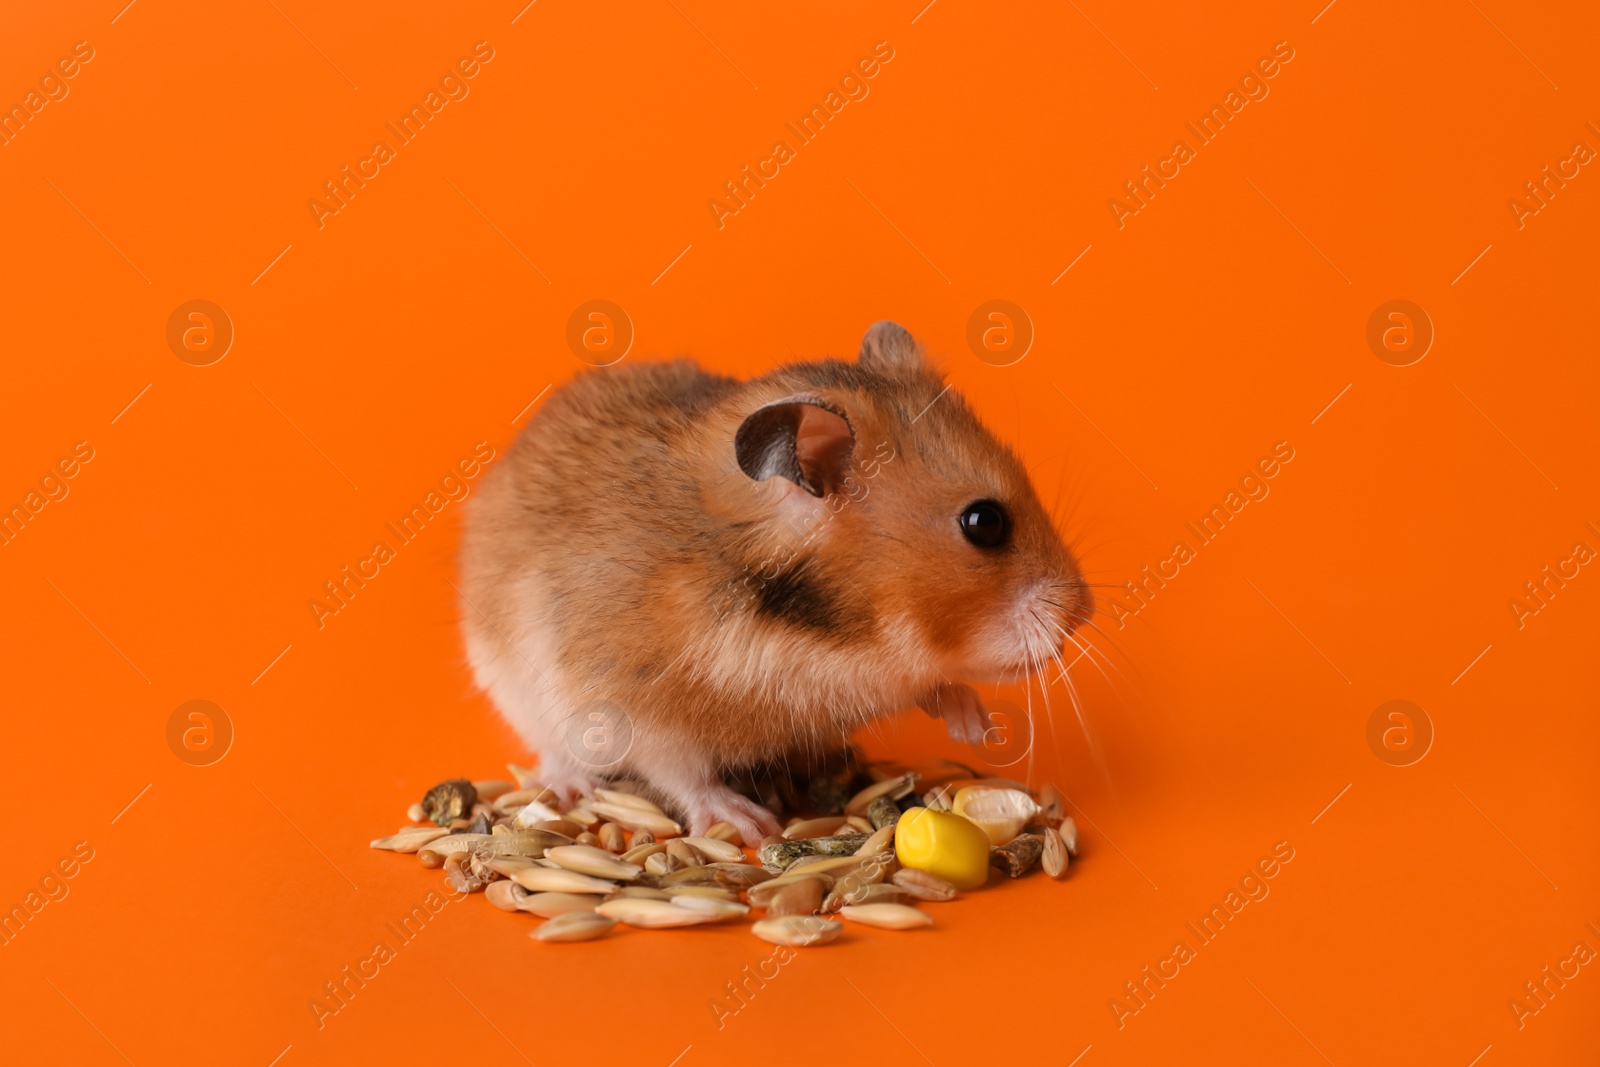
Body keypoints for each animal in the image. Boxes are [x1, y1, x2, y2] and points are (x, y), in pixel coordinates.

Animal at [457, 319, 1094, 844]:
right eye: (985, 523)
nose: (1084, 611)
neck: (830, 640)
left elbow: (935, 685)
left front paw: (974, 727)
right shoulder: (629, 701)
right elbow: (680, 770)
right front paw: (750, 826)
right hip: (514, 685)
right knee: (554, 749)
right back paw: (574, 790)